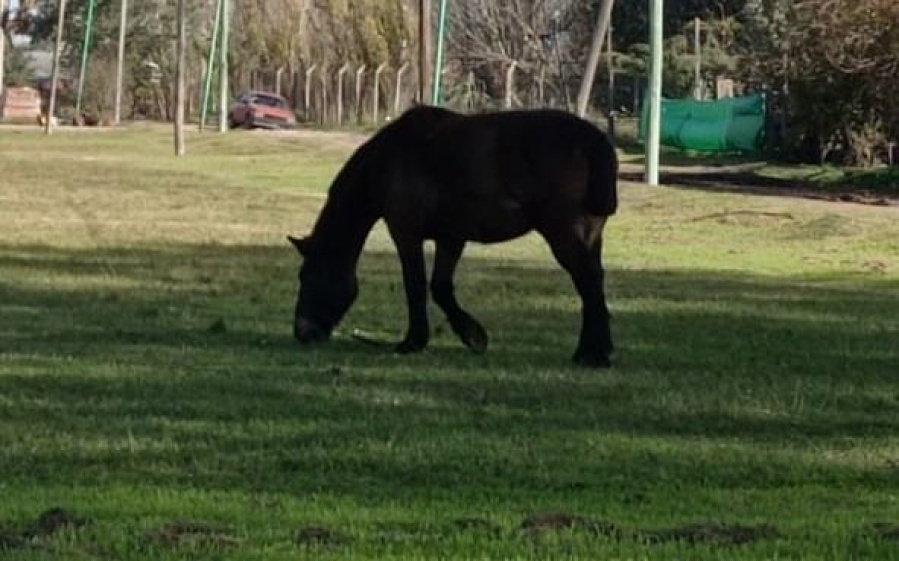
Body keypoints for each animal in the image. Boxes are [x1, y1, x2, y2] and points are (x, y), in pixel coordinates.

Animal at [287, 105, 618, 367]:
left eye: (308, 277)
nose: (302, 332)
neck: (390, 158)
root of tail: (593, 140)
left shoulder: (405, 232)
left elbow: (416, 286)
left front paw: (413, 342)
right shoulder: (451, 237)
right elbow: (441, 287)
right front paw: (473, 336)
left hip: (563, 234)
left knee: (587, 281)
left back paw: (591, 355)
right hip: (591, 236)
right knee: (595, 282)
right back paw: (596, 349)